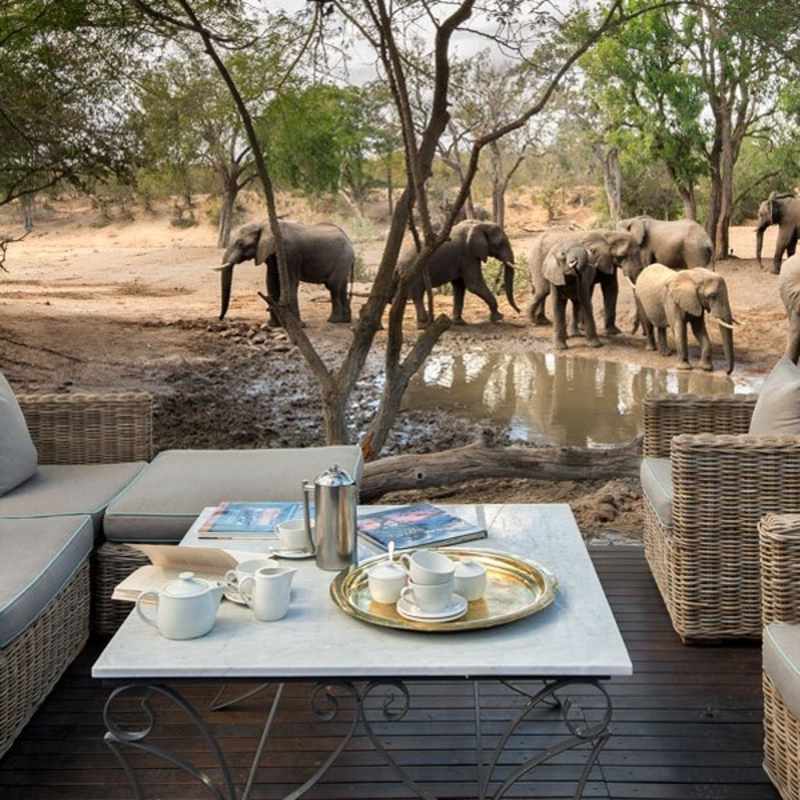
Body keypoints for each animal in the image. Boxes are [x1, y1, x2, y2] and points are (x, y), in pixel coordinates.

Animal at [214, 220, 355, 325]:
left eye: (240, 244)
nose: (220, 318)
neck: (264, 224)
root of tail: (350, 241)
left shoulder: (289, 253)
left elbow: (290, 283)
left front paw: (298, 325)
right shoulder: (270, 254)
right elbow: (271, 281)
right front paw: (273, 325)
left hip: (342, 258)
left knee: (333, 286)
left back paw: (333, 321)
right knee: (342, 287)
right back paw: (345, 321)